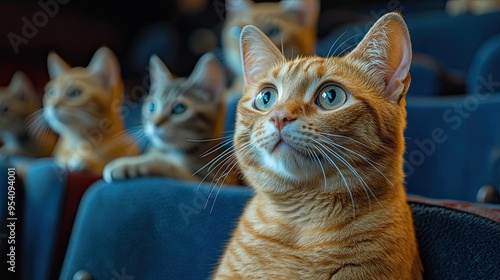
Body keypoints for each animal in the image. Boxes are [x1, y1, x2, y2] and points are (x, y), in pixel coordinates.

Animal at [102, 53, 241, 186]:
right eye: (152, 106)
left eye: (179, 108)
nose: (154, 123)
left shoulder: (214, 181)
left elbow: (167, 165)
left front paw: (128, 164)